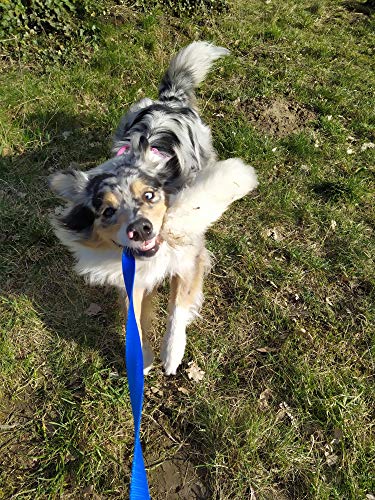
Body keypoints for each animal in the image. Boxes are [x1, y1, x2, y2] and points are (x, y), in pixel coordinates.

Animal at [50, 42, 258, 376]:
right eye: (107, 212)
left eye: (149, 195)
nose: (141, 228)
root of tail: (169, 100)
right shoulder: (130, 278)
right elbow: (134, 320)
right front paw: (143, 359)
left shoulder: (189, 258)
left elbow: (178, 308)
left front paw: (172, 354)